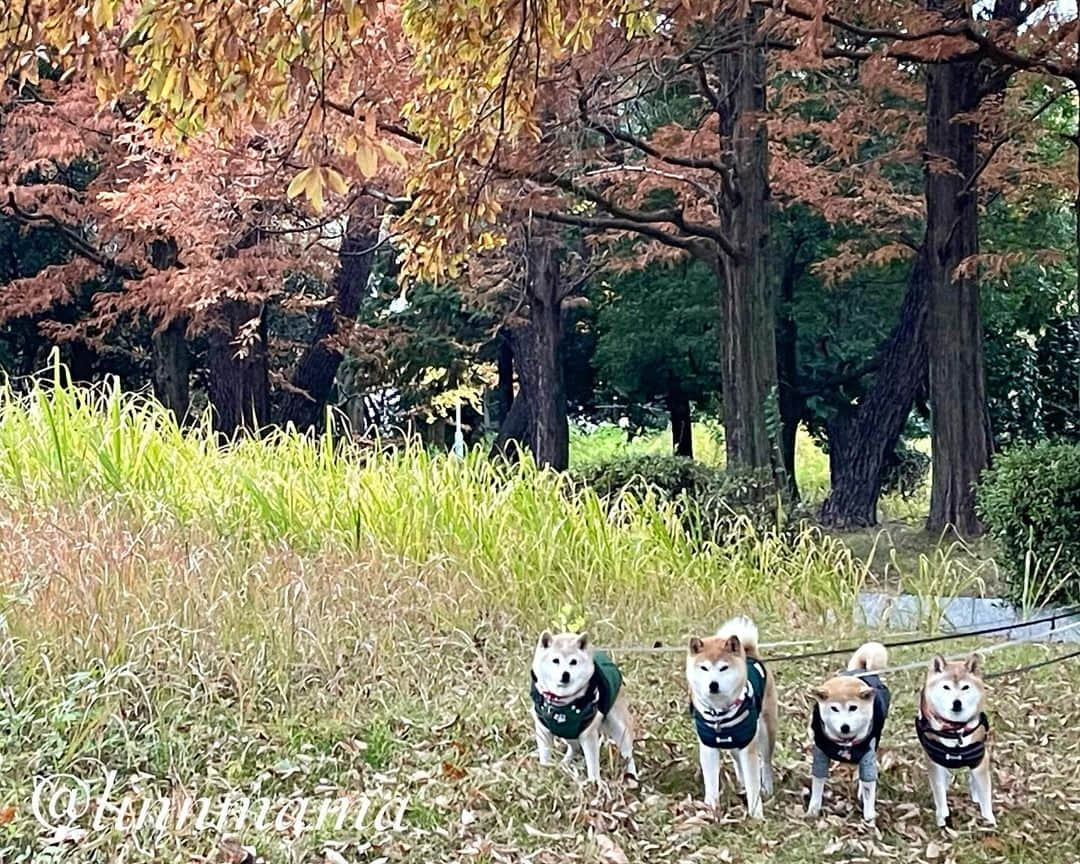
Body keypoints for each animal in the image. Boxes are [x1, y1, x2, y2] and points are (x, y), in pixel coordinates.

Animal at [529, 630, 635, 777]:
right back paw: (564, 763)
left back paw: (632, 776)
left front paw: (594, 781)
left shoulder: (588, 733)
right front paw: (545, 772)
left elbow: (593, 765)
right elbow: (545, 756)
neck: (561, 703)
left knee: (628, 754)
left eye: (573, 662)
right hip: (568, 732)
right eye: (555, 660)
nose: (565, 674)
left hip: (619, 727)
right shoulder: (543, 729)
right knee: (574, 748)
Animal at [682, 613, 777, 816]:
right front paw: (710, 808)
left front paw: (756, 814)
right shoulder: (709, 746)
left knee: (766, 762)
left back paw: (767, 788)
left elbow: (753, 784)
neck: (719, 713)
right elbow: (711, 782)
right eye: (704, 668)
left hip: (765, 731)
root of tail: (750, 653)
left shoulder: (749, 745)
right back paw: (740, 782)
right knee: (737, 760)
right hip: (735, 740)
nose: (713, 685)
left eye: (723, 668)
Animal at [807, 639, 889, 825]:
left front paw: (869, 818)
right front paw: (813, 810)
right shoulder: (820, 754)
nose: (845, 727)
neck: (845, 743)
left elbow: (868, 788)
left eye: (853, 708)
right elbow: (817, 784)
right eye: (834, 708)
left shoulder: (868, 756)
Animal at [915, 656, 989, 829]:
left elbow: (985, 794)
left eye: (965, 687)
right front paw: (943, 817)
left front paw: (990, 821)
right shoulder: (934, 763)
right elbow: (939, 792)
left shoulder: (979, 760)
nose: (957, 703)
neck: (955, 730)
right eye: (946, 687)